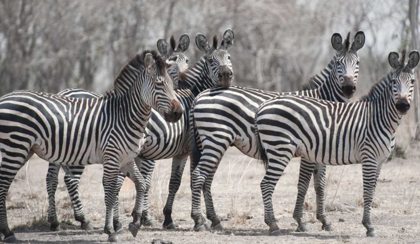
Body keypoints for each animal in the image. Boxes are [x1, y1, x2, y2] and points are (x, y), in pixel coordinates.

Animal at [0, 50, 182, 242]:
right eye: (159, 84)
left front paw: (135, 222)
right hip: (16, 147)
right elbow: (110, 190)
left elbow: (140, 184)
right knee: (4, 186)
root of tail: (5, 98)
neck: (124, 115)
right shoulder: (112, 157)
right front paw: (111, 230)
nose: (178, 113)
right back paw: (8, 232)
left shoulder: (126, 158)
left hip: (26, 149)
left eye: (172, 84)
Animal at [47, 29, 235, 232]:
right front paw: (200, 219)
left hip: (60, 149)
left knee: (52, 179)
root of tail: (64, 92)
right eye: (210, 60)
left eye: (229, 57)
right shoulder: (187, 149)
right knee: (73, 180)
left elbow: (161, 182)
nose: (226, 75)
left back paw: (55, 221)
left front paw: (154, 217)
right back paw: (89, 220)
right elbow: (188, 181)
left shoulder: (157, 153)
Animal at [189, 31, 364, 232]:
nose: (348, 89)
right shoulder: (309, 150)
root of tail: (201, 95)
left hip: (211, 142)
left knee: (206, 178)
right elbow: (303, 184)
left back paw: (212, 220)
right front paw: (300, 221)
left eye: (357, 63)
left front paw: (324, 220)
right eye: (338, 63)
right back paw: (199, 221)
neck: (323, 100)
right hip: (215, 139)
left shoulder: (320, 149)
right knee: (199, 175)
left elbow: (320, 185)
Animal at [254, 50, 418, 236]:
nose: (402, 106)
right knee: (266, 184)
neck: (378, 117)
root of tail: (264, 105)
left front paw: (368, 224)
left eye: (412, 82)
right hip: (280, 149)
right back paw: (273, 225)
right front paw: (369, 226)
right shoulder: (369, 157)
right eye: (393, 82)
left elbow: (373, 191)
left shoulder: (380, 161)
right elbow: (368, 191)